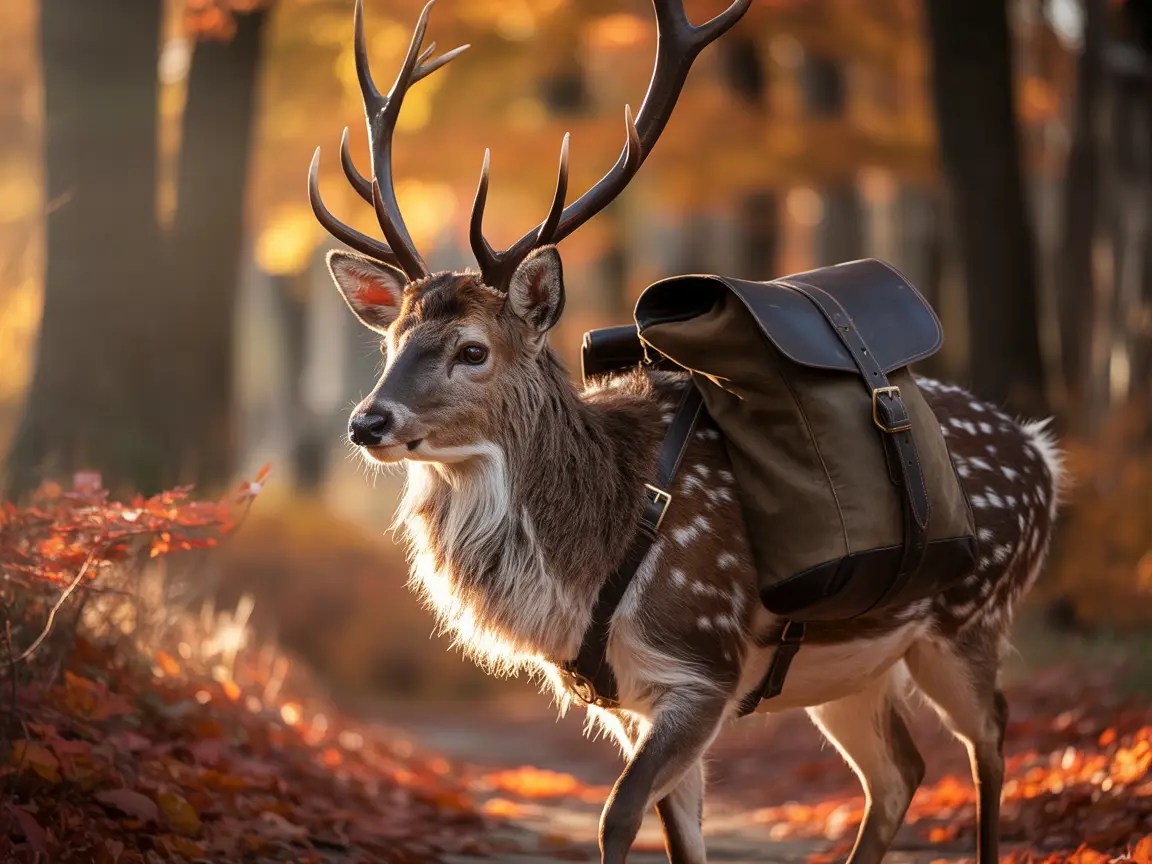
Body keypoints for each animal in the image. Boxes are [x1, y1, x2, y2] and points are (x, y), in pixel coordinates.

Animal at [306, 2, 1065, 863]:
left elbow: (617, 815)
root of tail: (1043, 455)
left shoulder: (705, 662)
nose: (367, 421)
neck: (587, 567)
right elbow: (679, 835)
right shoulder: (629, 698)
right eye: (391, 342)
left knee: (991, 742)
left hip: (972, 617)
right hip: (851, 670)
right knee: (900, 769)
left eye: (473, 350)